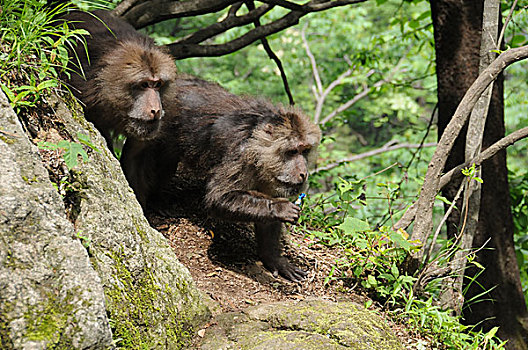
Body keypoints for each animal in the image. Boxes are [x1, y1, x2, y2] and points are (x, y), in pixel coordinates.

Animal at [122, 77, 322, 282]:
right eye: (292, 152)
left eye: (305, 151)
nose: (303, 173)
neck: (258, 146)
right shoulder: (239, 155)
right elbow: (218, 199)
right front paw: (280, 208)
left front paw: (274, 259)